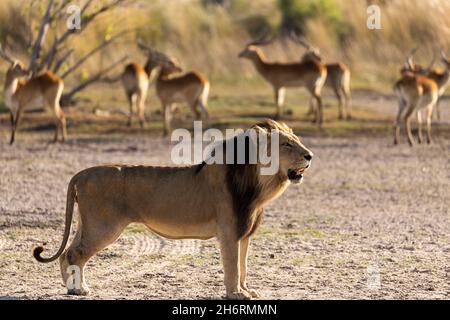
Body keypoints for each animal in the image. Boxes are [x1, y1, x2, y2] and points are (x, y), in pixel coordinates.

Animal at [34, 119, 312, 298]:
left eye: (297, 140)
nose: (310, 156)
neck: (258, 183)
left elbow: (243, 267)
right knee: (75, 254)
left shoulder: (244, 234)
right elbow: (233, 267)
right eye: (287, 145)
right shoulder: (229, 233)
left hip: (88, 223)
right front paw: (235, 294)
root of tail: (82, 173)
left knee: (66, 253)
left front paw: (246, 290)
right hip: (104, 227)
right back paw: (78, 289)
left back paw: (72, 287)